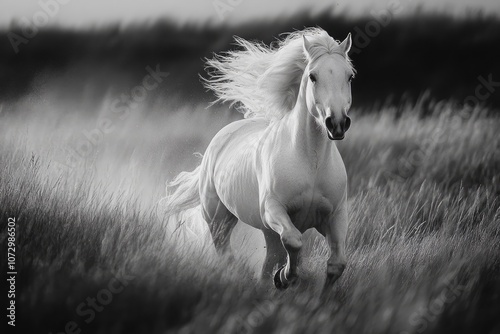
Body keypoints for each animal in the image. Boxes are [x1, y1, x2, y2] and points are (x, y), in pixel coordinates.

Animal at [162, 27, 354, 290]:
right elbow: (294, 241)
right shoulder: (274, 210)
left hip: (266, 231)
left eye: (350, 76)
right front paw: (284, 277)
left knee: (269, 257)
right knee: (225, 252)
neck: (310, 162)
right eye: (313, 76)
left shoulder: (335, 217)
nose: (337, 123)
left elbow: (337, 264)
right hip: (219, 219)